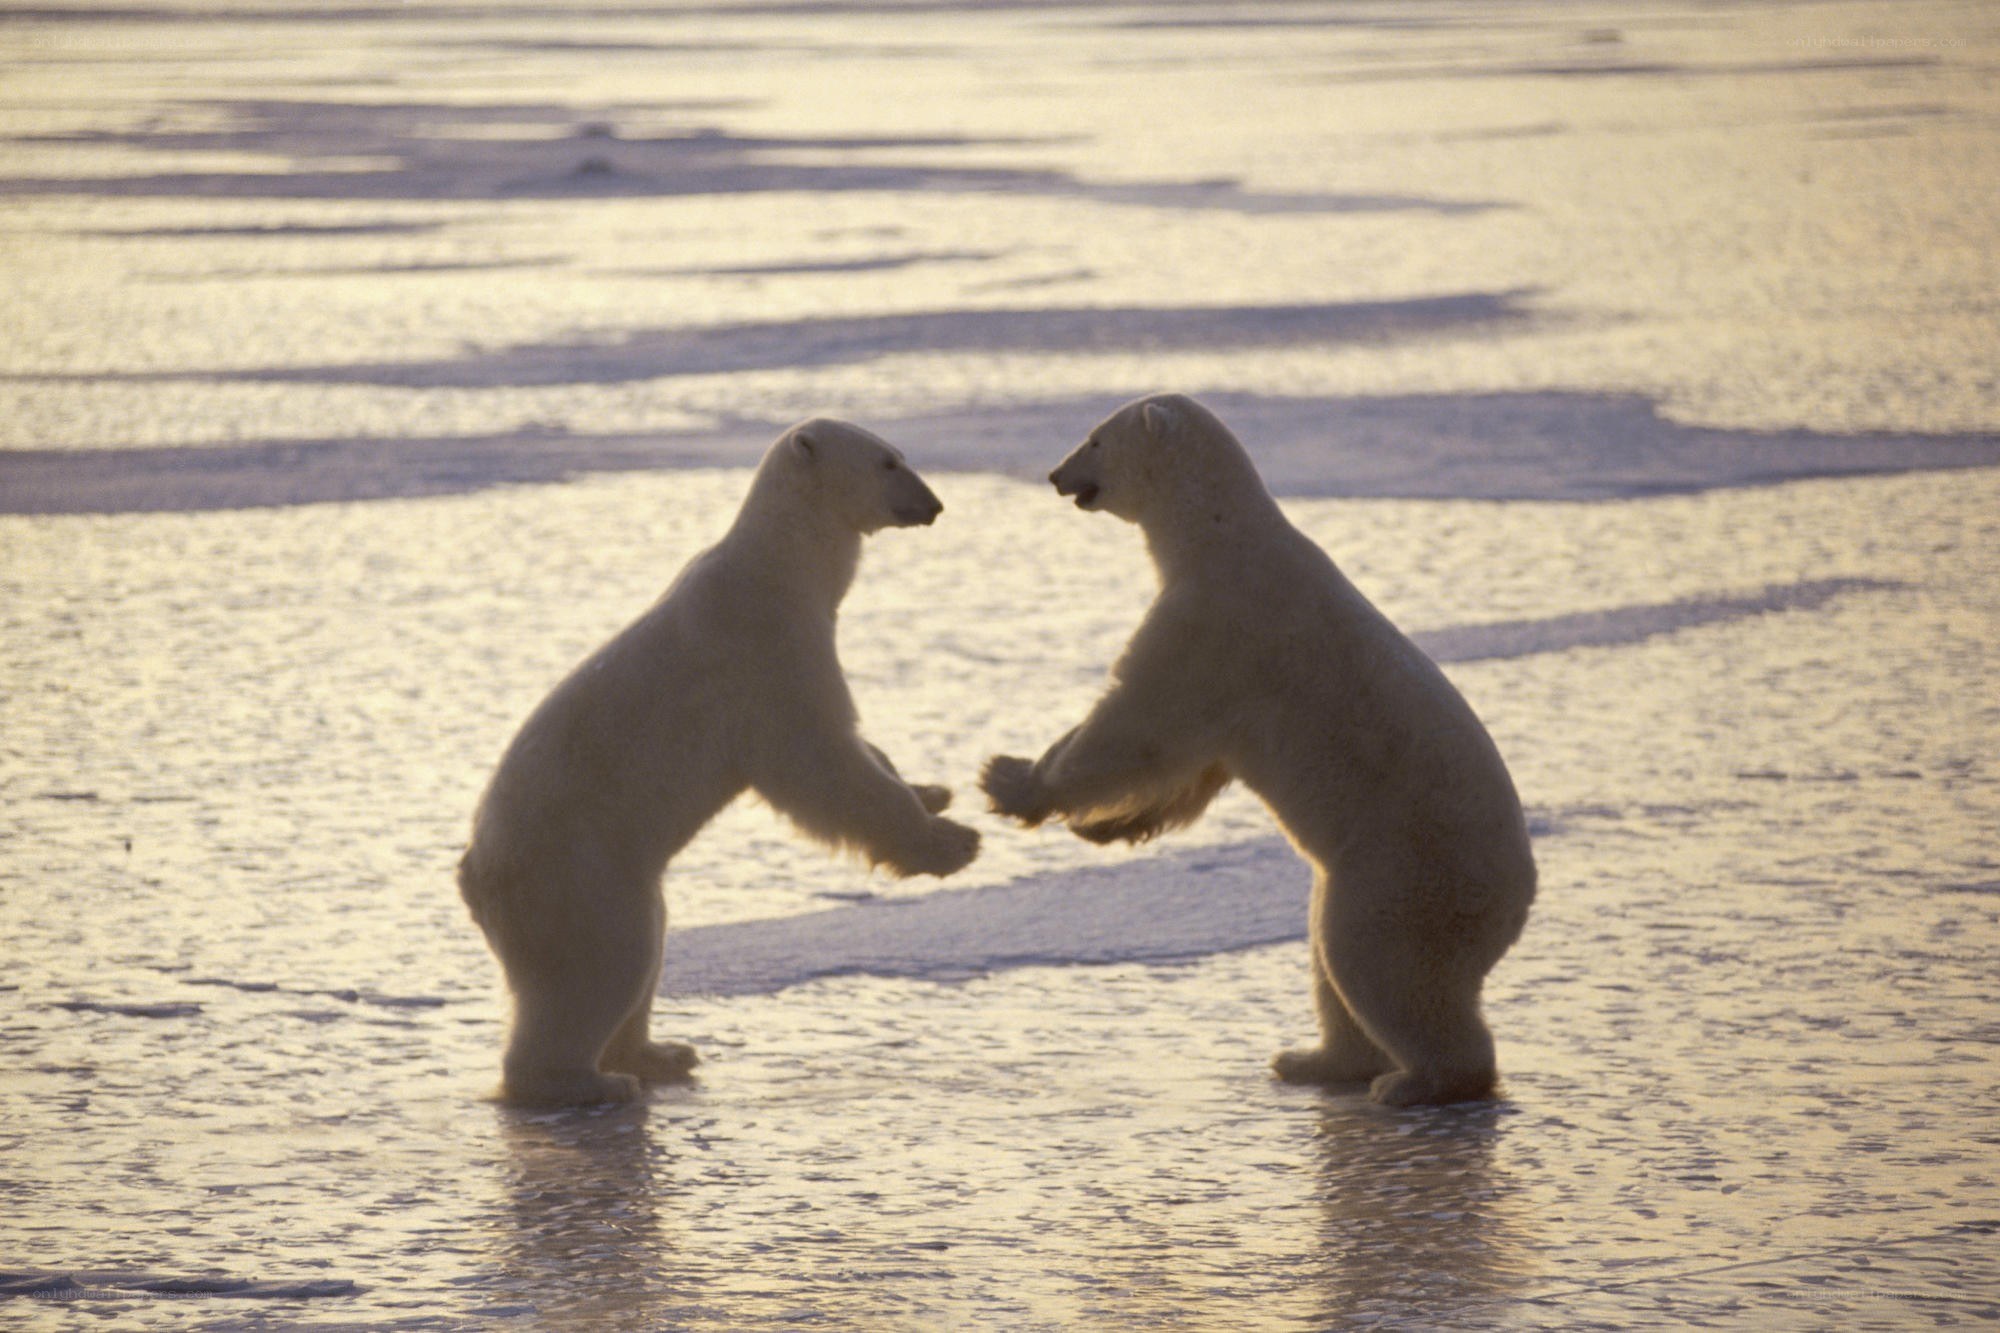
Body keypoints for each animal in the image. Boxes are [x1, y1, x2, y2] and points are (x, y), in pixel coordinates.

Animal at [459, 418, 980, 1107]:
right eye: (888, 462)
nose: (934, 504)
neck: (777, 566)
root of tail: (473, 876)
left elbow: (860, 752)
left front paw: (933, 791)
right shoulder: (764, 651)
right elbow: (818, 758)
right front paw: (952, 842)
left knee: (647, 948)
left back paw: (662, 1053)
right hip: (575, 873)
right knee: (602, 964)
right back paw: (589, 1081)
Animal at [980, 393, 1535, 1107]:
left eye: (1095, 438)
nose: (1054, 474)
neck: (1221, 534)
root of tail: (1515, 903)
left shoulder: (1214, 622)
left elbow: (1136, 724)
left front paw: (1010, 780)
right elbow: (1194, 765)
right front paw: (1107, 828)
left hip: (1407, 874)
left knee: (1377, 966)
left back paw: (1415, 1081)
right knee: (1331, 960)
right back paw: (1313, 1060)